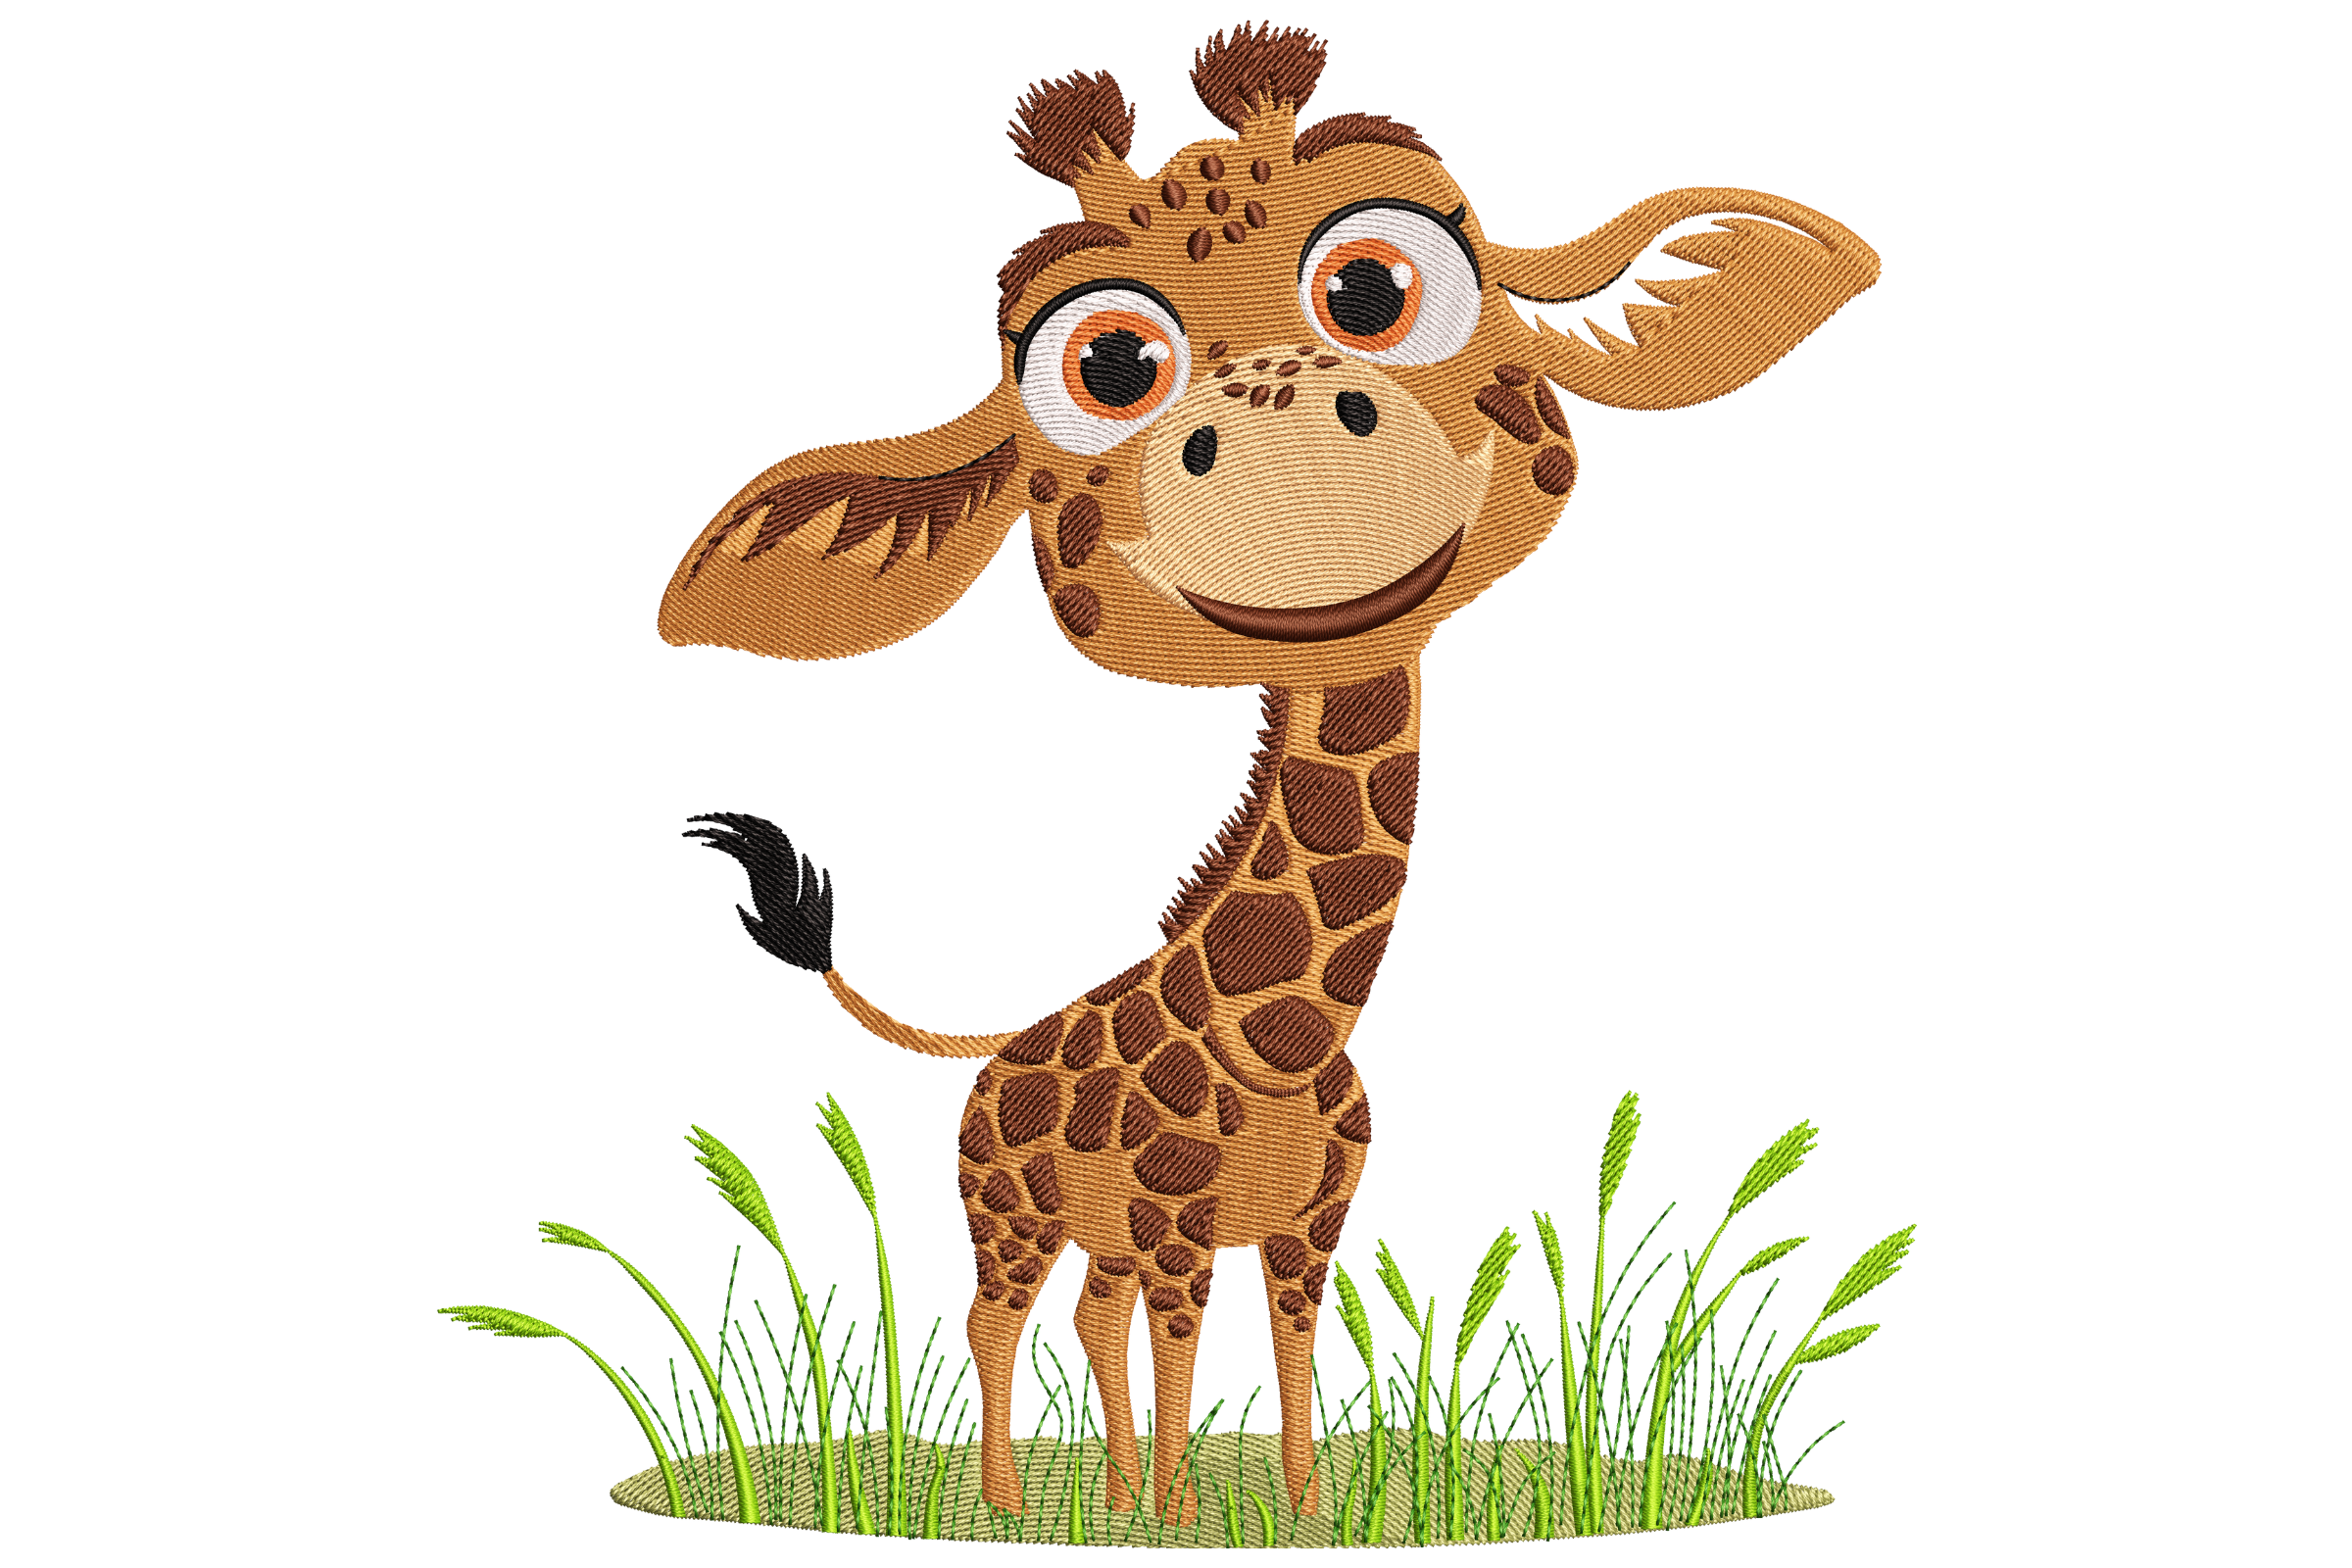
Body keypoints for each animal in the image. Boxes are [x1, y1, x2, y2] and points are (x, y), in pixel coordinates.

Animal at [661, 24, 1877, 1523]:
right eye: (1110, 365)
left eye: (1374, 285)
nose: (1284, 442)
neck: (1285, 1041)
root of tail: (992, 1055)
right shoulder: (1178, 1214)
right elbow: (1187, 1343)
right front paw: (1184, 1516)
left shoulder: (1307, 1220)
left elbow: (1293, 1350)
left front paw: (1287, 1506)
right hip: (1008, 1204)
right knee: (1000, 1317)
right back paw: (1012, 1499)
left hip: (1092, 1226)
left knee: (1087, 1316)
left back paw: (1105, 1489)